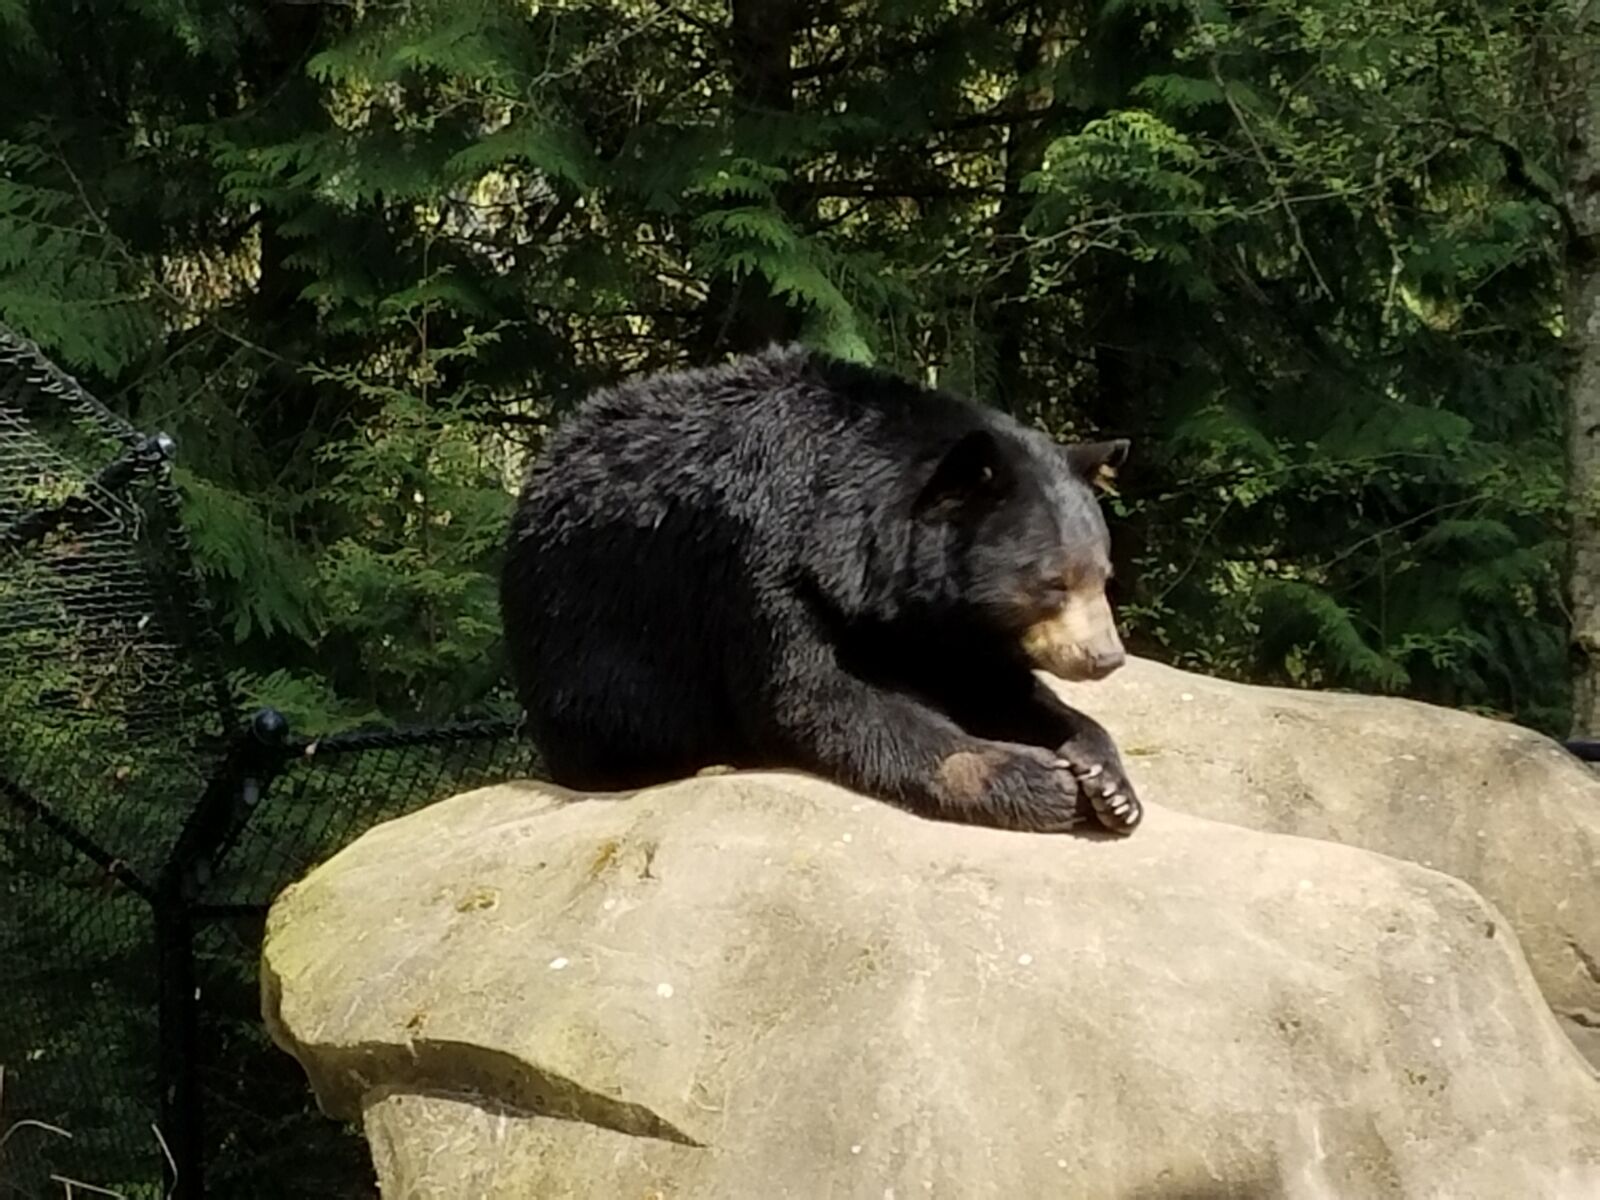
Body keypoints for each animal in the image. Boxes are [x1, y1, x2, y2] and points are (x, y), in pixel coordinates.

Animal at [499, 344, 1140, 835]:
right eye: (1052, 583)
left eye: (1102, 574)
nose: (1105, 657)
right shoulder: (762, 559)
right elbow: (816, 695)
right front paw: (1041, 781)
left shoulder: (936, 619)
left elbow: (991, 685)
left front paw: (1109, 782)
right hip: (585, 633)